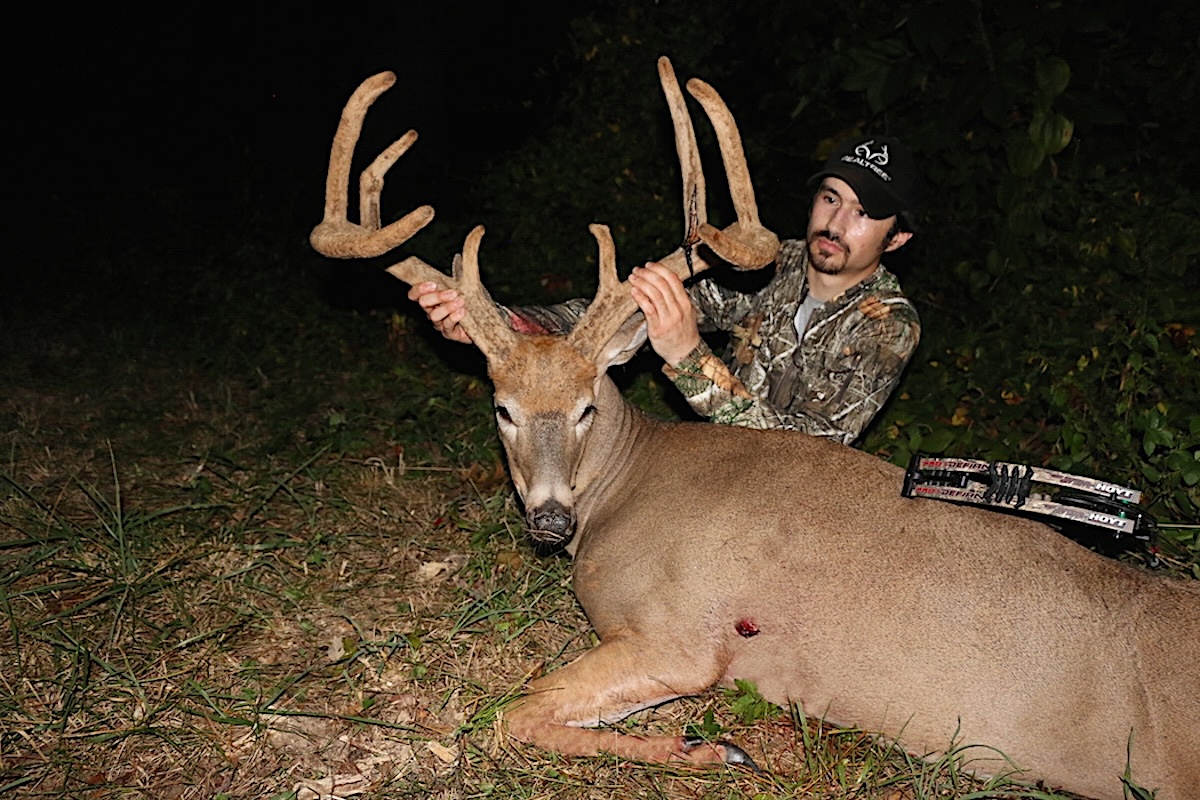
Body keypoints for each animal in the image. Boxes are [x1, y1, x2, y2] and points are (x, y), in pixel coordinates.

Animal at [310, 58, 1200, 800]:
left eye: (589, 405)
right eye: (503, 407)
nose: (550, 520)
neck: (624, 488)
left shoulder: (684, 635)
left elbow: (512, 714)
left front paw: (711, 749)